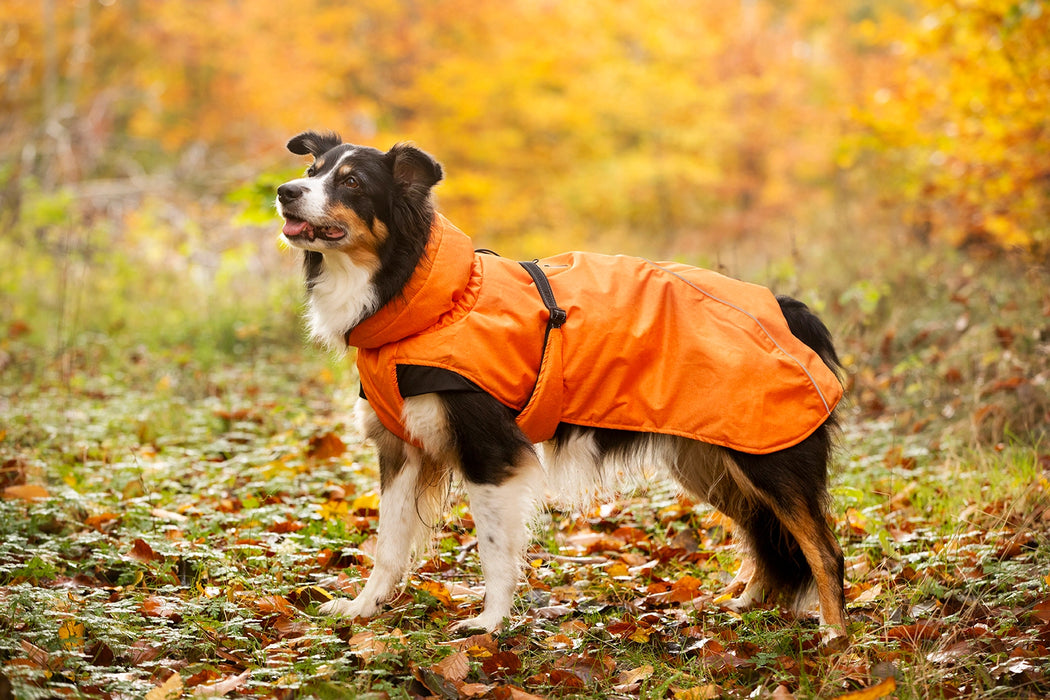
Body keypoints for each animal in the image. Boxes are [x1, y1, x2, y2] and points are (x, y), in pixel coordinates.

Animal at [275, 131, 848, 642]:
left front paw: (489, 623)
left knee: (823, 548)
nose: (284, 191)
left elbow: (493, 547)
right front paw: (363, 608)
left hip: (767, 455)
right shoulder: (401, 449)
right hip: (711, 459)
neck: (434, 300)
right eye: (312, 171)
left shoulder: (490, 450)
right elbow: (389, 544)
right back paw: (746, 604)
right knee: (765, 533)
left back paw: (833, 635)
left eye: (351, 182)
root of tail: (787, 308)